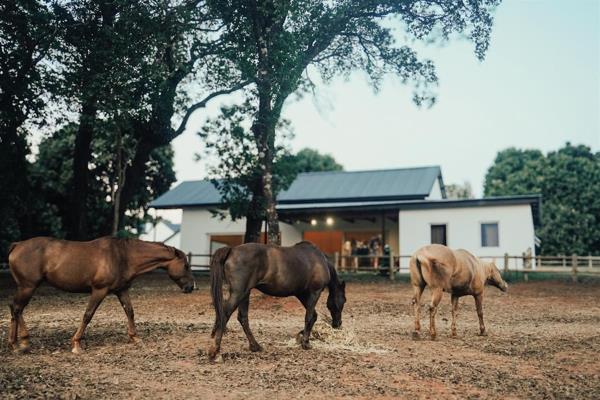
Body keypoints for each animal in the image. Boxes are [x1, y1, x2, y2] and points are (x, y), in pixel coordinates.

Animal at [7, 236, 195, 352]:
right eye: (186, 265)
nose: (192, 286)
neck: (123, 256)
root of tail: (17, 245)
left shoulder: (121, 290)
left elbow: (130, 312)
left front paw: (135, 337)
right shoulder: (99, 290)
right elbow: (88, 315)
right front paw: (76, 344)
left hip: (26, 287)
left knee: (15, 308)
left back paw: (18, 342)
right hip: (28, 287)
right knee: (17, 308)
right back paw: (20, 342)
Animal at [207, 241, 344, 362]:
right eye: (343, 301)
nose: (337, 324)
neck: (320, 261)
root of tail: (232, 250)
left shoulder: (301, 294)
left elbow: (313, 316)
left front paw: (301, 336)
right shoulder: (314, 292)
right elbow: (309, 317)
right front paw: (305, 343)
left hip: (245, 294)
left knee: (242, 318)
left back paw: (255, 346)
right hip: (239, 293)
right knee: (225, 314)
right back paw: (215, 351)